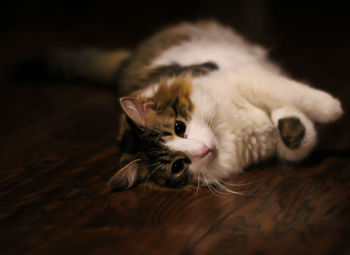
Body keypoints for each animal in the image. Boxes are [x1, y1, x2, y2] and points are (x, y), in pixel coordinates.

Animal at [53, 20, 344, 190]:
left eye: (179, 127)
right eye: (178, 166)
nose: (204, 150)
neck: (228, 132)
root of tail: (123, 65)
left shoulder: (248, 78)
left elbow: (295, 95)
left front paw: (333, 107)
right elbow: (297, 143)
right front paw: (294, 127)